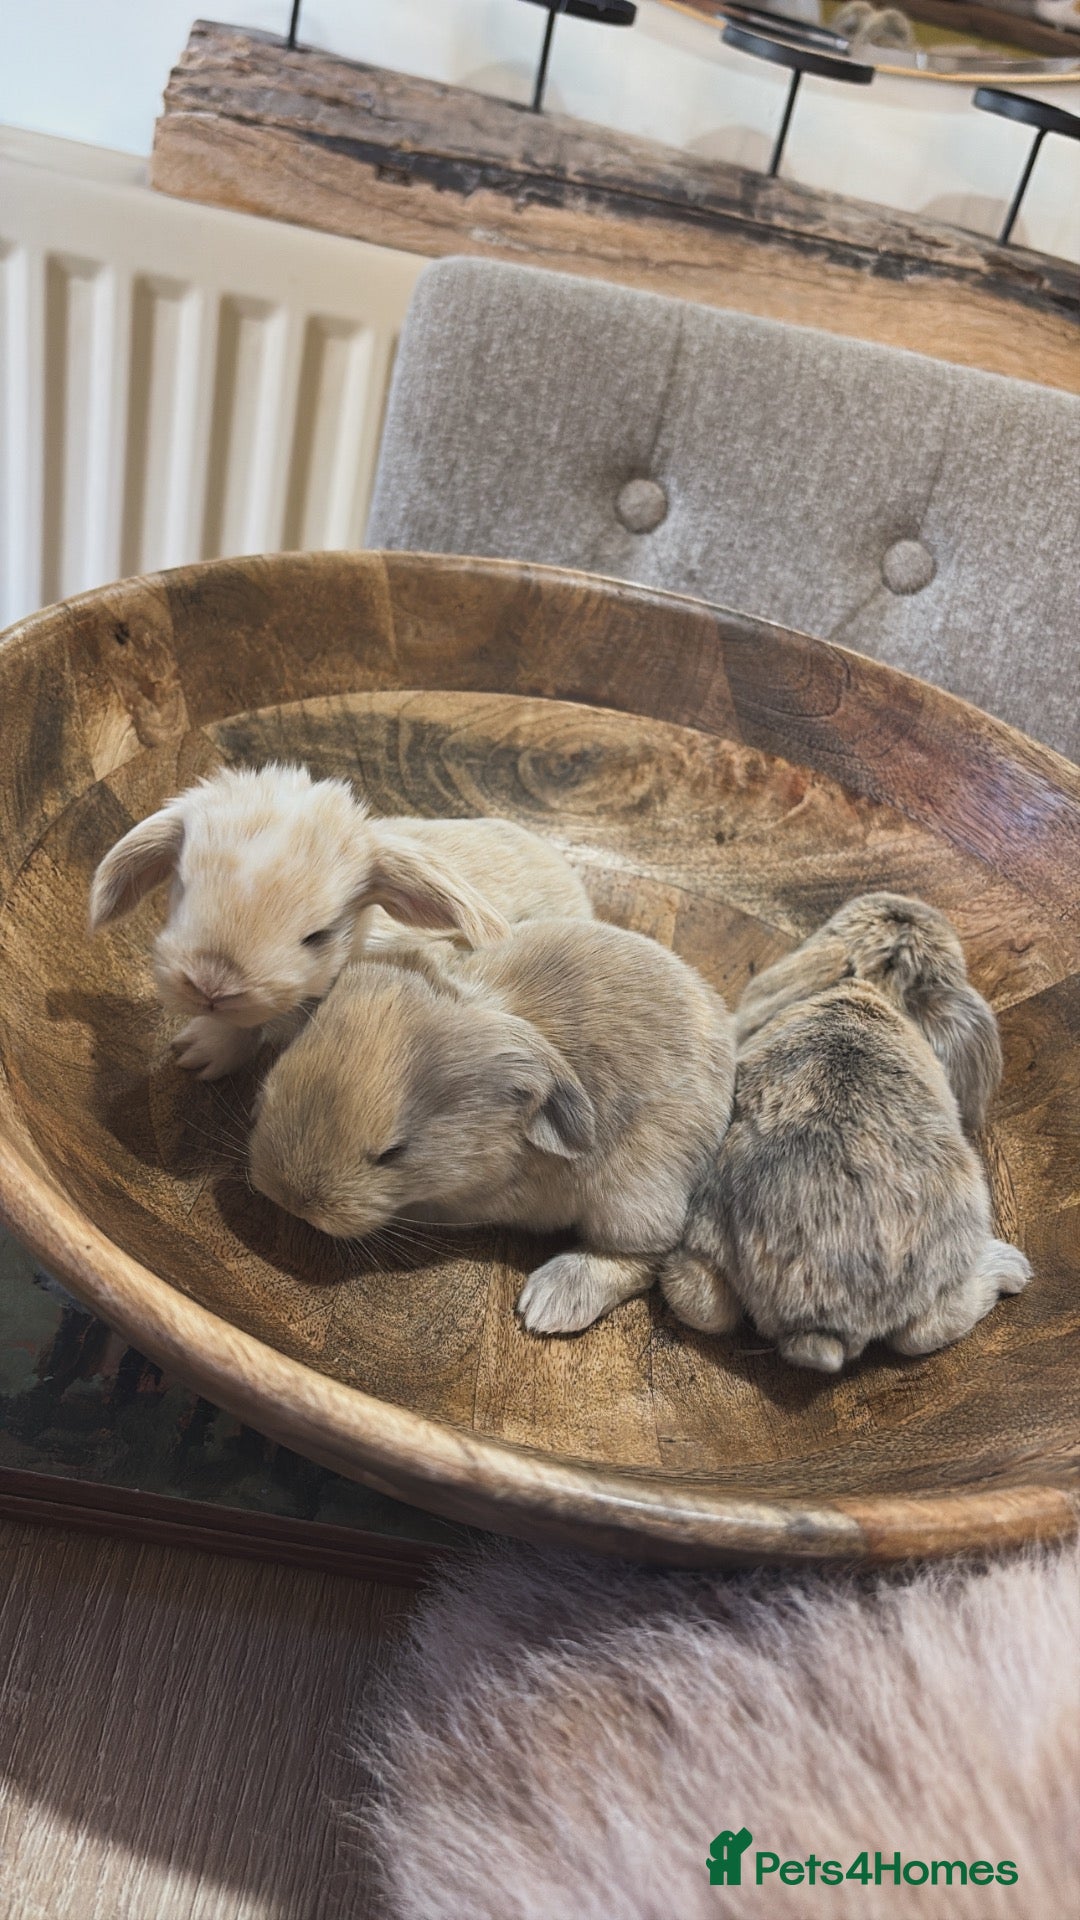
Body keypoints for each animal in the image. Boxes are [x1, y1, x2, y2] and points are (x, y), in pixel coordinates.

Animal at [248, 918, 736, 1337]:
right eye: (272, 1083)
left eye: (393, 1153)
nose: (292, 1201)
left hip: (633, 1198)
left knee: (643, 1256)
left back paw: (548, 1304)